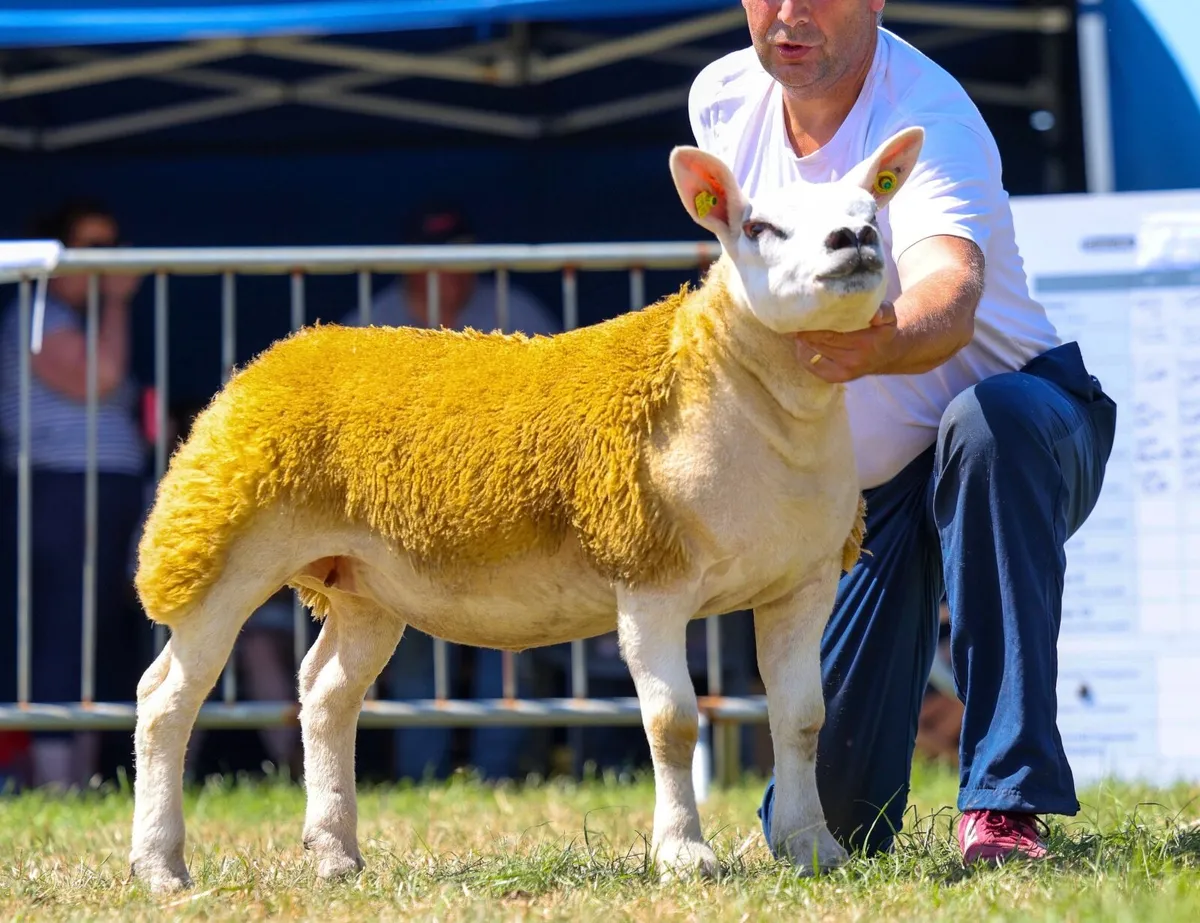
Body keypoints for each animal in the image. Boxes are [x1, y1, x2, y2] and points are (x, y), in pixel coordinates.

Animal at [128, 125, 925, 893]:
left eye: (873, 211)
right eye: (759, 226)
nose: (855, 239)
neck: (740, 396)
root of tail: (282, 354)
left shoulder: (804, 581)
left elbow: (803, 719)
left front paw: (813, 847)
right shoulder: (649, 573)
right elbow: (672, 722)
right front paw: (683, 855)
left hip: (361, 581)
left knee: (325, 694)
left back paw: (334, 856)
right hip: (218, 540)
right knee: (166, 697)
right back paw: (160, 865)